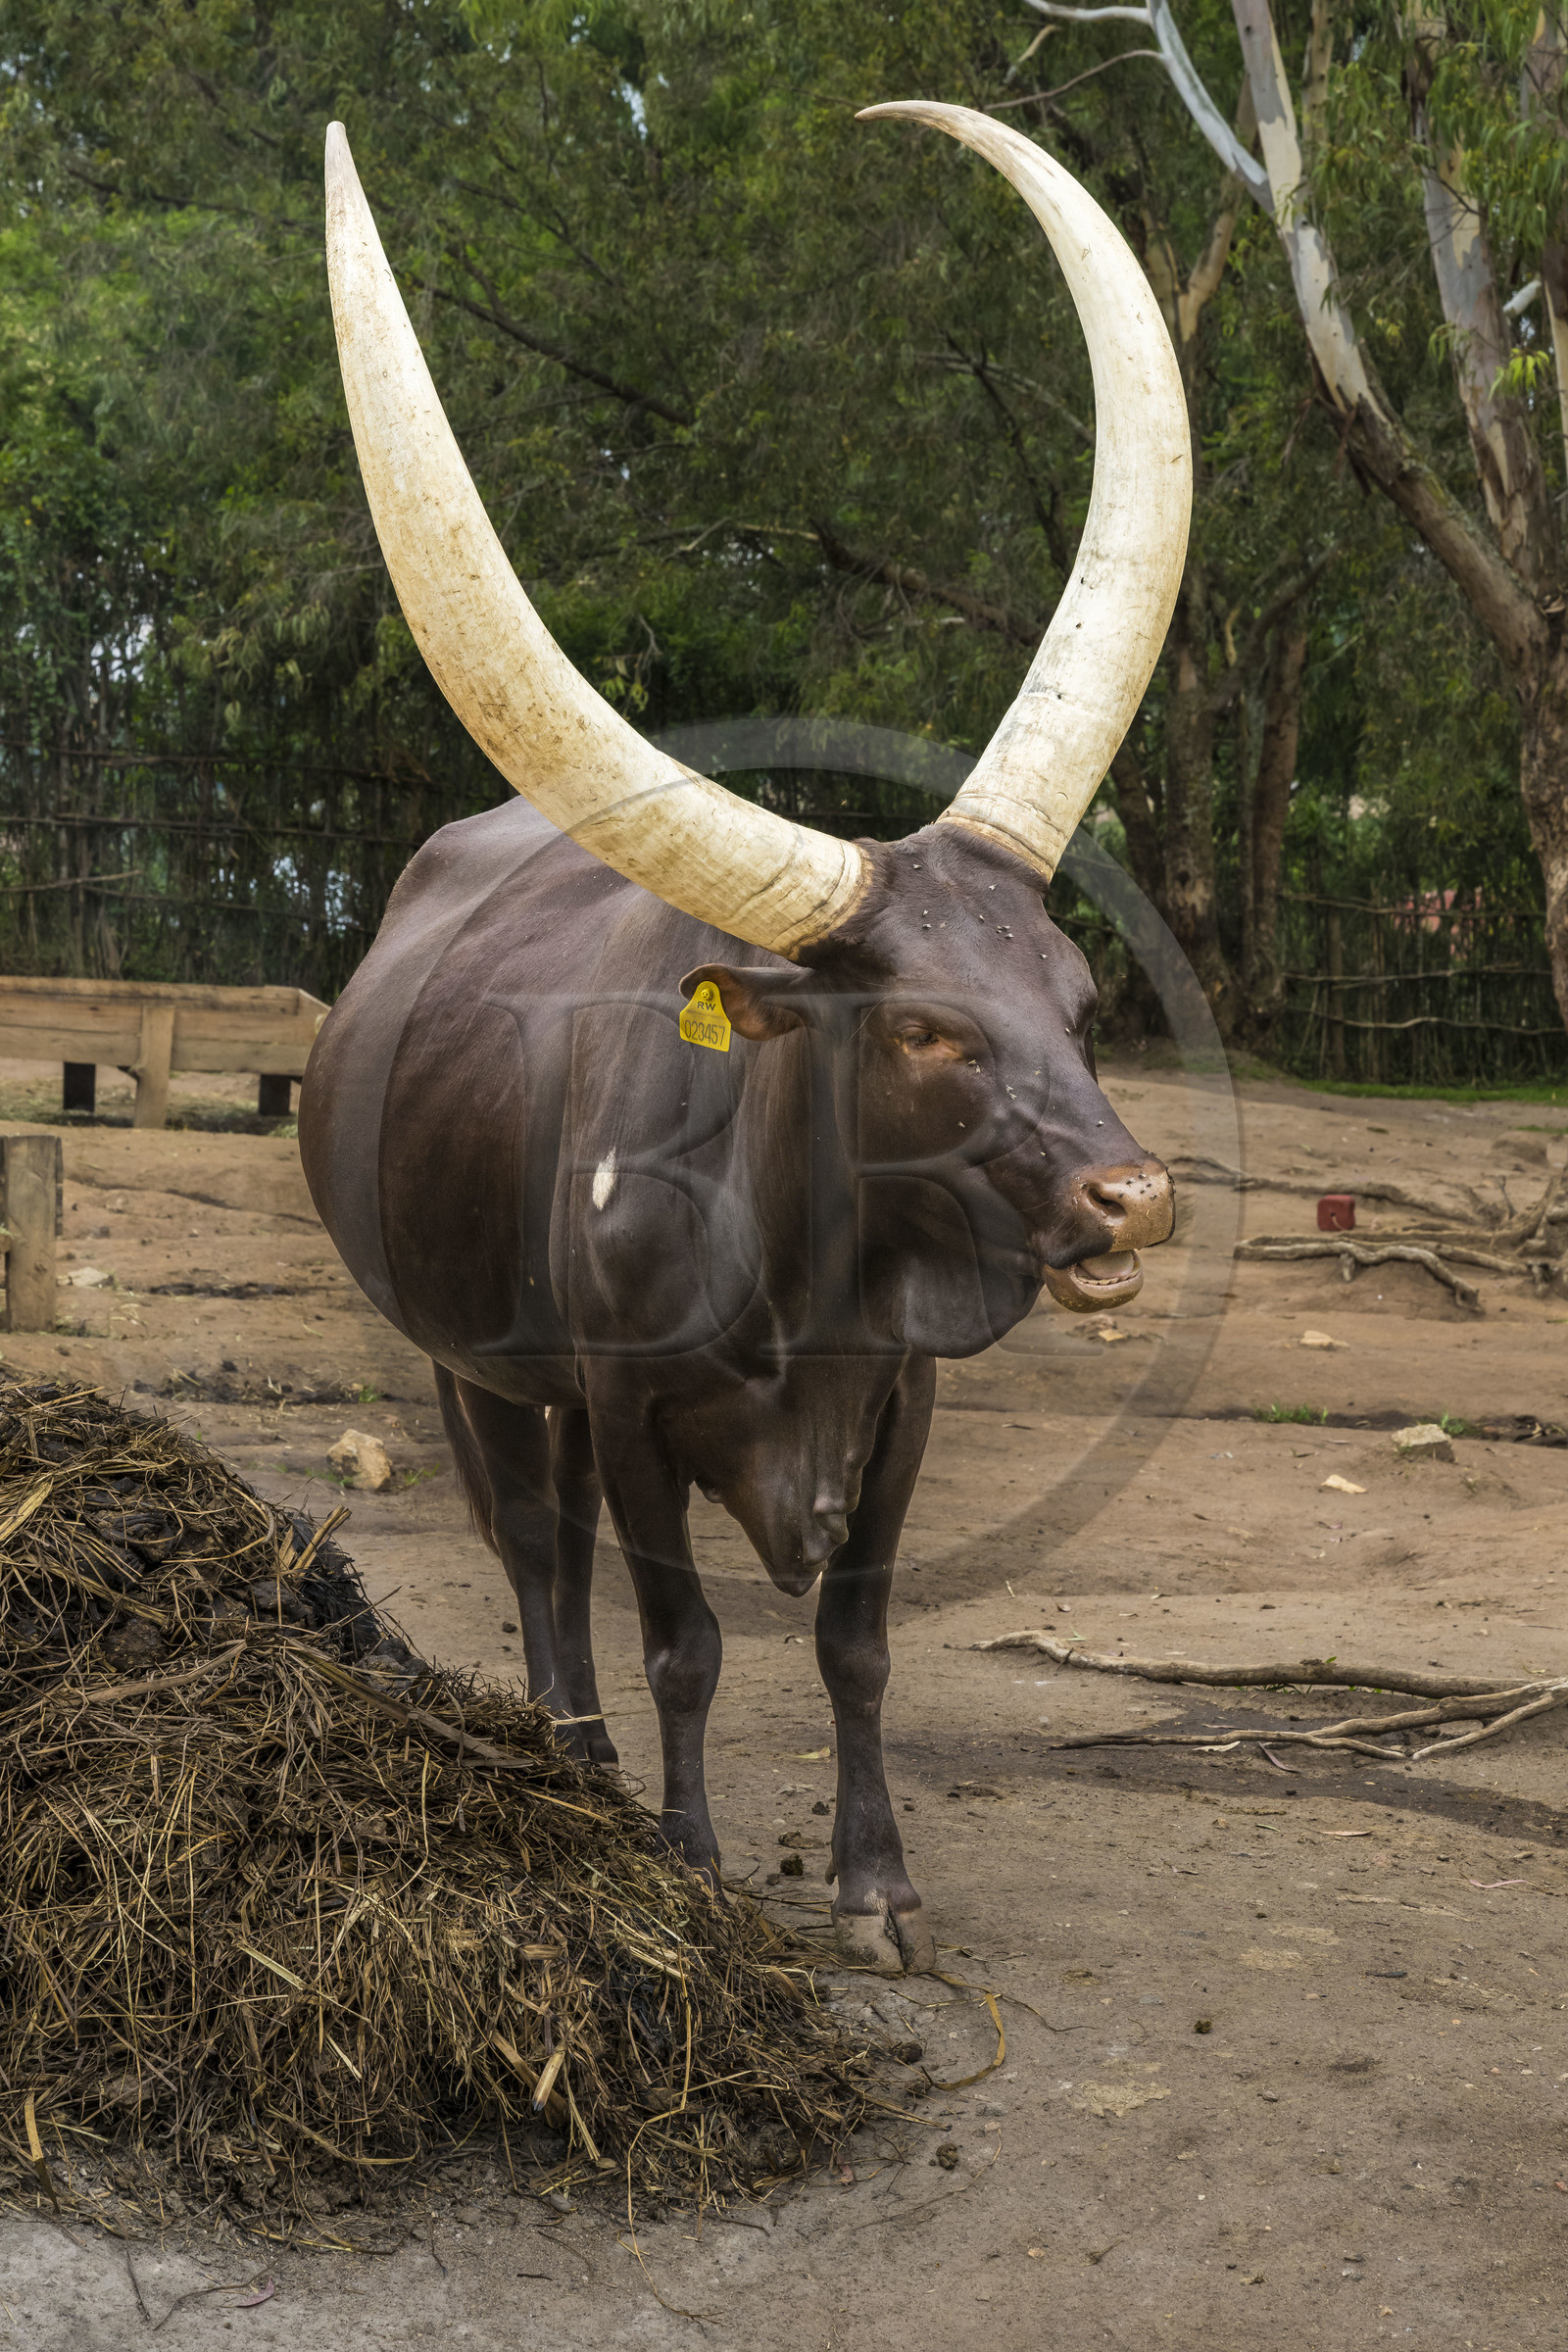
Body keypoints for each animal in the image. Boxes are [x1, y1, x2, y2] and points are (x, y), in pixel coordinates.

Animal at [300, 102, 1189, 1973]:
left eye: (1080, 1007)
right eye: (923, 1030)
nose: (1133, 1198)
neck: (808, 1276)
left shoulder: (902, 1406)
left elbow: (856, 1643)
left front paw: (877, 1889)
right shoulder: (632, 1410)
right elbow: (681, 1641)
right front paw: (693, 1869)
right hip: (476, 1369)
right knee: (539, 1564)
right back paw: (573, 1779)